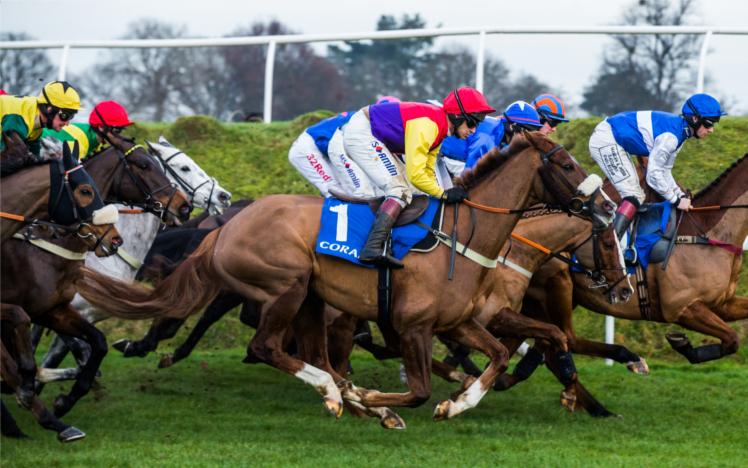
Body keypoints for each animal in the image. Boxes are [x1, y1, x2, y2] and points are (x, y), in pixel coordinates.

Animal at [74, 133, 612, 428]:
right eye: (567, 163)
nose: (606, 205)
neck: (462, 237)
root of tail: (229, 223)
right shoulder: (413, 326)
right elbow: (419, 388)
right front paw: (375, 399)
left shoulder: (459, 322)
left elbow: (498, 356)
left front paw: (456, 404)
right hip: (287, 287)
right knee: (271, 348)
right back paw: (338, 394)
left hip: (311, 300)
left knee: (309, 353)